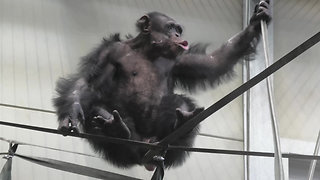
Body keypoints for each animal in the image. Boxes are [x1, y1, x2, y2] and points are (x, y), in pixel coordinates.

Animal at [52, 1, 270, 170]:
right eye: (170, 27)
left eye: (179, 29)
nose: (177, 35)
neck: (147, 50)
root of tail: (146, 151)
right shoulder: (109, 51)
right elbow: (87, 84)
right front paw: (70, 116)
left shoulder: (181, 59)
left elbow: (213, 62)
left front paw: (256, 21)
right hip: (125, 149)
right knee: (96, 108)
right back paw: (117, 130)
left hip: (162, 141)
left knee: (178, 102)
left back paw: (183, 122)